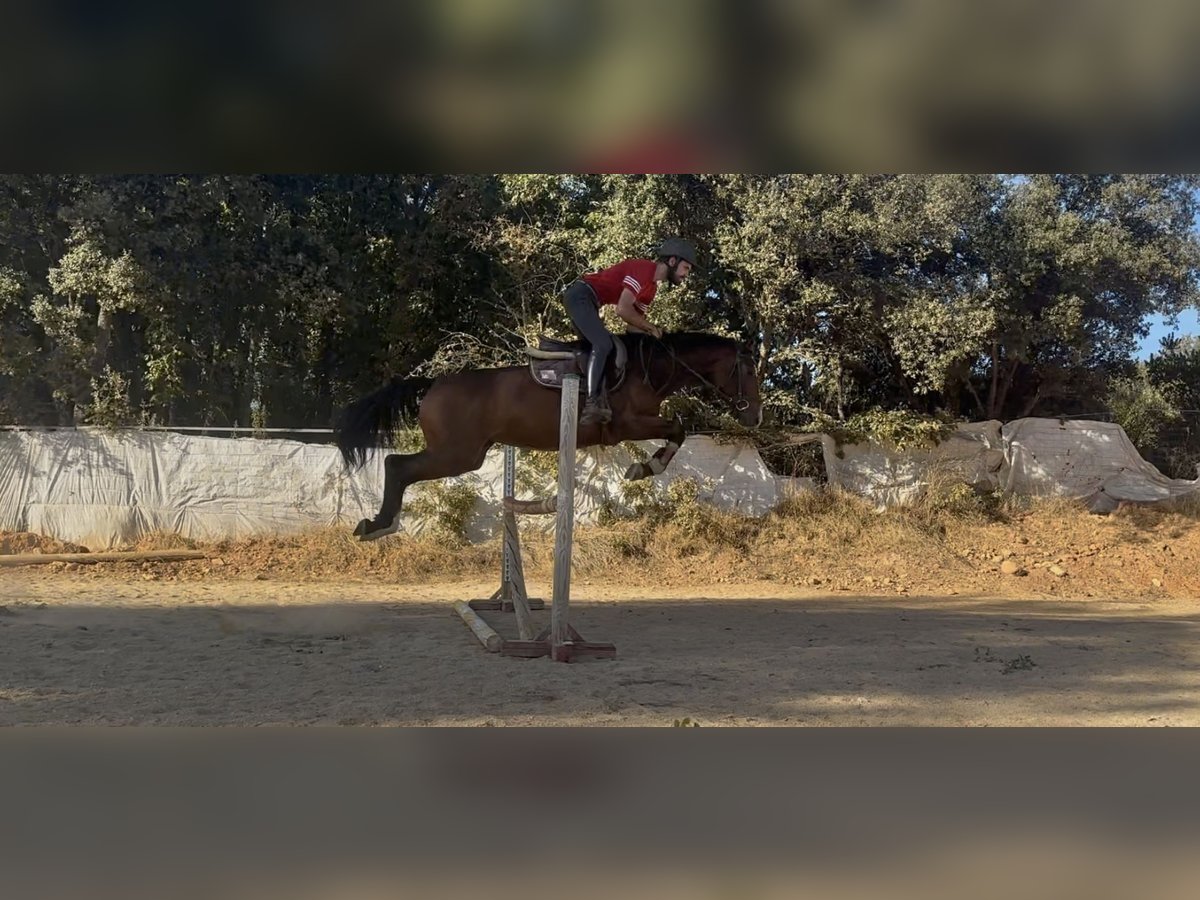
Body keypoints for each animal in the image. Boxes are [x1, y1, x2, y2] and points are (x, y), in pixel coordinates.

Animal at [335, 331, 763, 540]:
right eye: (748, 371)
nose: (755, 416)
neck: (648, 367)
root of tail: (432, 384)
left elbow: (678, 428)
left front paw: (645, 467)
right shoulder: (627, 425)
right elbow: (678, 427)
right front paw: (645, 468)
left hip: (465, 454)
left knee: (399, 465)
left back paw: (379, 525)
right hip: (456, 454)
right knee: (397, 464)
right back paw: (377, 525)